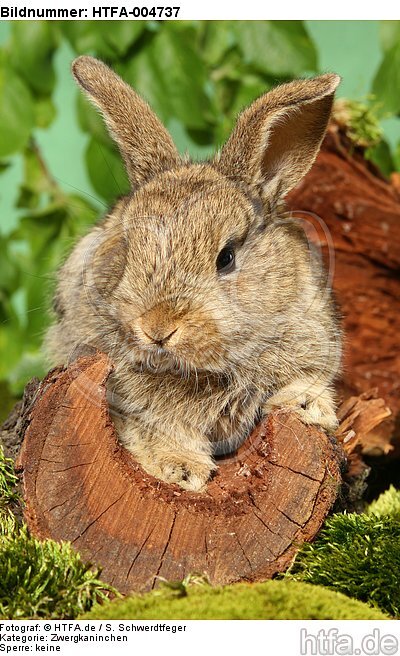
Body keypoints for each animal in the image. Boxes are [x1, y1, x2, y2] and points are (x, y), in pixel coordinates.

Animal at [45, 55, 342, 492]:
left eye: (226, 258)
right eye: (128, 247)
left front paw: (310, 407)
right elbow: (161, 432)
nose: (157, 328)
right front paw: (183, 470)